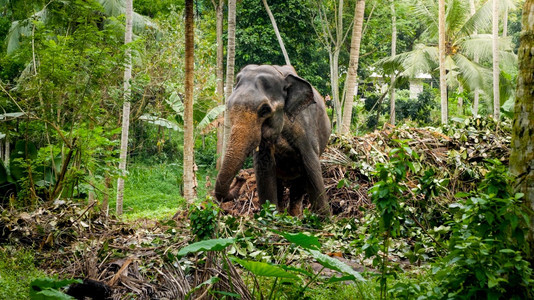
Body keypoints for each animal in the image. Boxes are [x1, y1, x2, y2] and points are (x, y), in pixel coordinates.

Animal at [216, 64, 332, 217]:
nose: (241, 178)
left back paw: (294, 216)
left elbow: (312, 166)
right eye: (228, 105)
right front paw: (270, 217)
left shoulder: (306, 127)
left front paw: (325, 219)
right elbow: (265, 171)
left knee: (299, 184)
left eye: (264, 110)